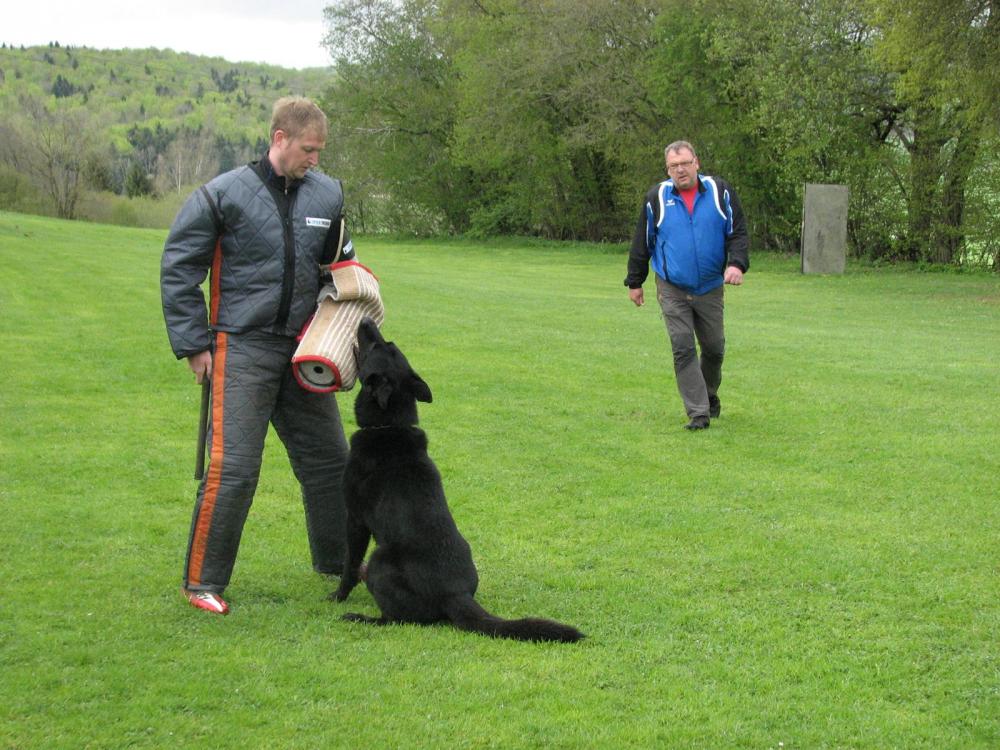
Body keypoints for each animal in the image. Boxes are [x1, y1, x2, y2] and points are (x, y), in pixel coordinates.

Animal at [331, 318, 584, 643]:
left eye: (377, 345)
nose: (365, 320)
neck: (390, 424)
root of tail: (455, 594)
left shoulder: (355, 519)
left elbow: (349, 563)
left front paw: (337, 595)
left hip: (379, 559)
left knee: (399, 619)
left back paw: (362, 617)